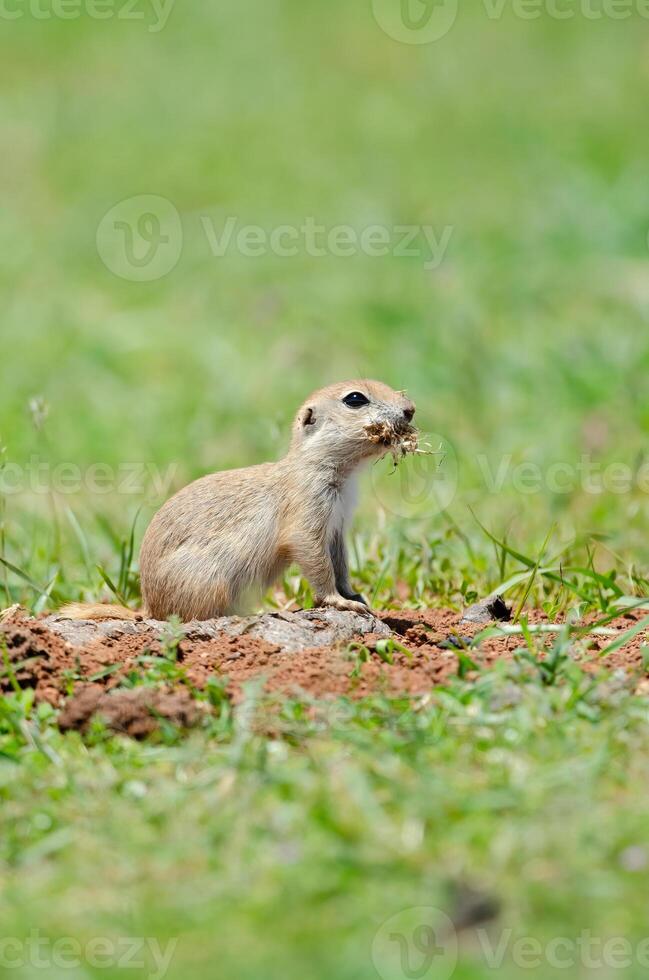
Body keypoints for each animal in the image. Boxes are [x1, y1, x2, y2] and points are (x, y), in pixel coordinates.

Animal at [62, 378, 416, 624]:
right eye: (355, 399)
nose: (410, 409)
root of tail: (149, 609)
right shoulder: (307, 506)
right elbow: (313, 556)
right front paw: (339, 601)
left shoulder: (338, 525)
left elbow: (339, 562)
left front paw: (356, 595)